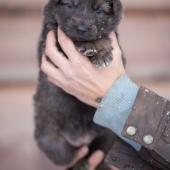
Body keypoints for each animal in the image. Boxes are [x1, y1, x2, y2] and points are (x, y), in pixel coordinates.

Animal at [33, 0, 123, 170]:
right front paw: (89, 46)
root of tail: (82, 138)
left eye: (99, 11)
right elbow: (66, 37)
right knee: (73, 157)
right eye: (70, 5)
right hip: (53, 143)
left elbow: (102, 36)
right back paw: (80, 163)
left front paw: (101, 52)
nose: (81, 29)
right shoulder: (50, 42)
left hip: (107, 136)